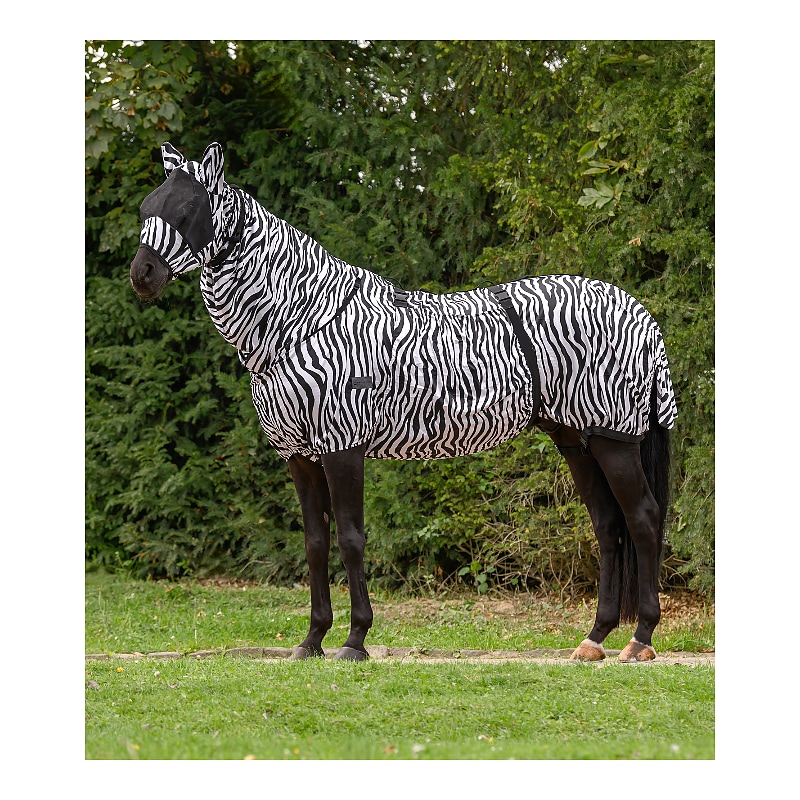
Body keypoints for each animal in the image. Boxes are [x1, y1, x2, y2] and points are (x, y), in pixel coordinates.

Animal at [130, 142, 677, 663]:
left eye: (187, 210)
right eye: (145, 208)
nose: (142, 275)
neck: (302, 318)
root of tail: (639, 312)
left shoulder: (342, 447)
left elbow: (351, 540)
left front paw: (355, 640)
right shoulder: (300, 457)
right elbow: (314, 545)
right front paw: (312, 640)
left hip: (614, 440)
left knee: (643, 520)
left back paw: (640, 639)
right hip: (577, 440)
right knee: (608, 525)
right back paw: (595, 638)